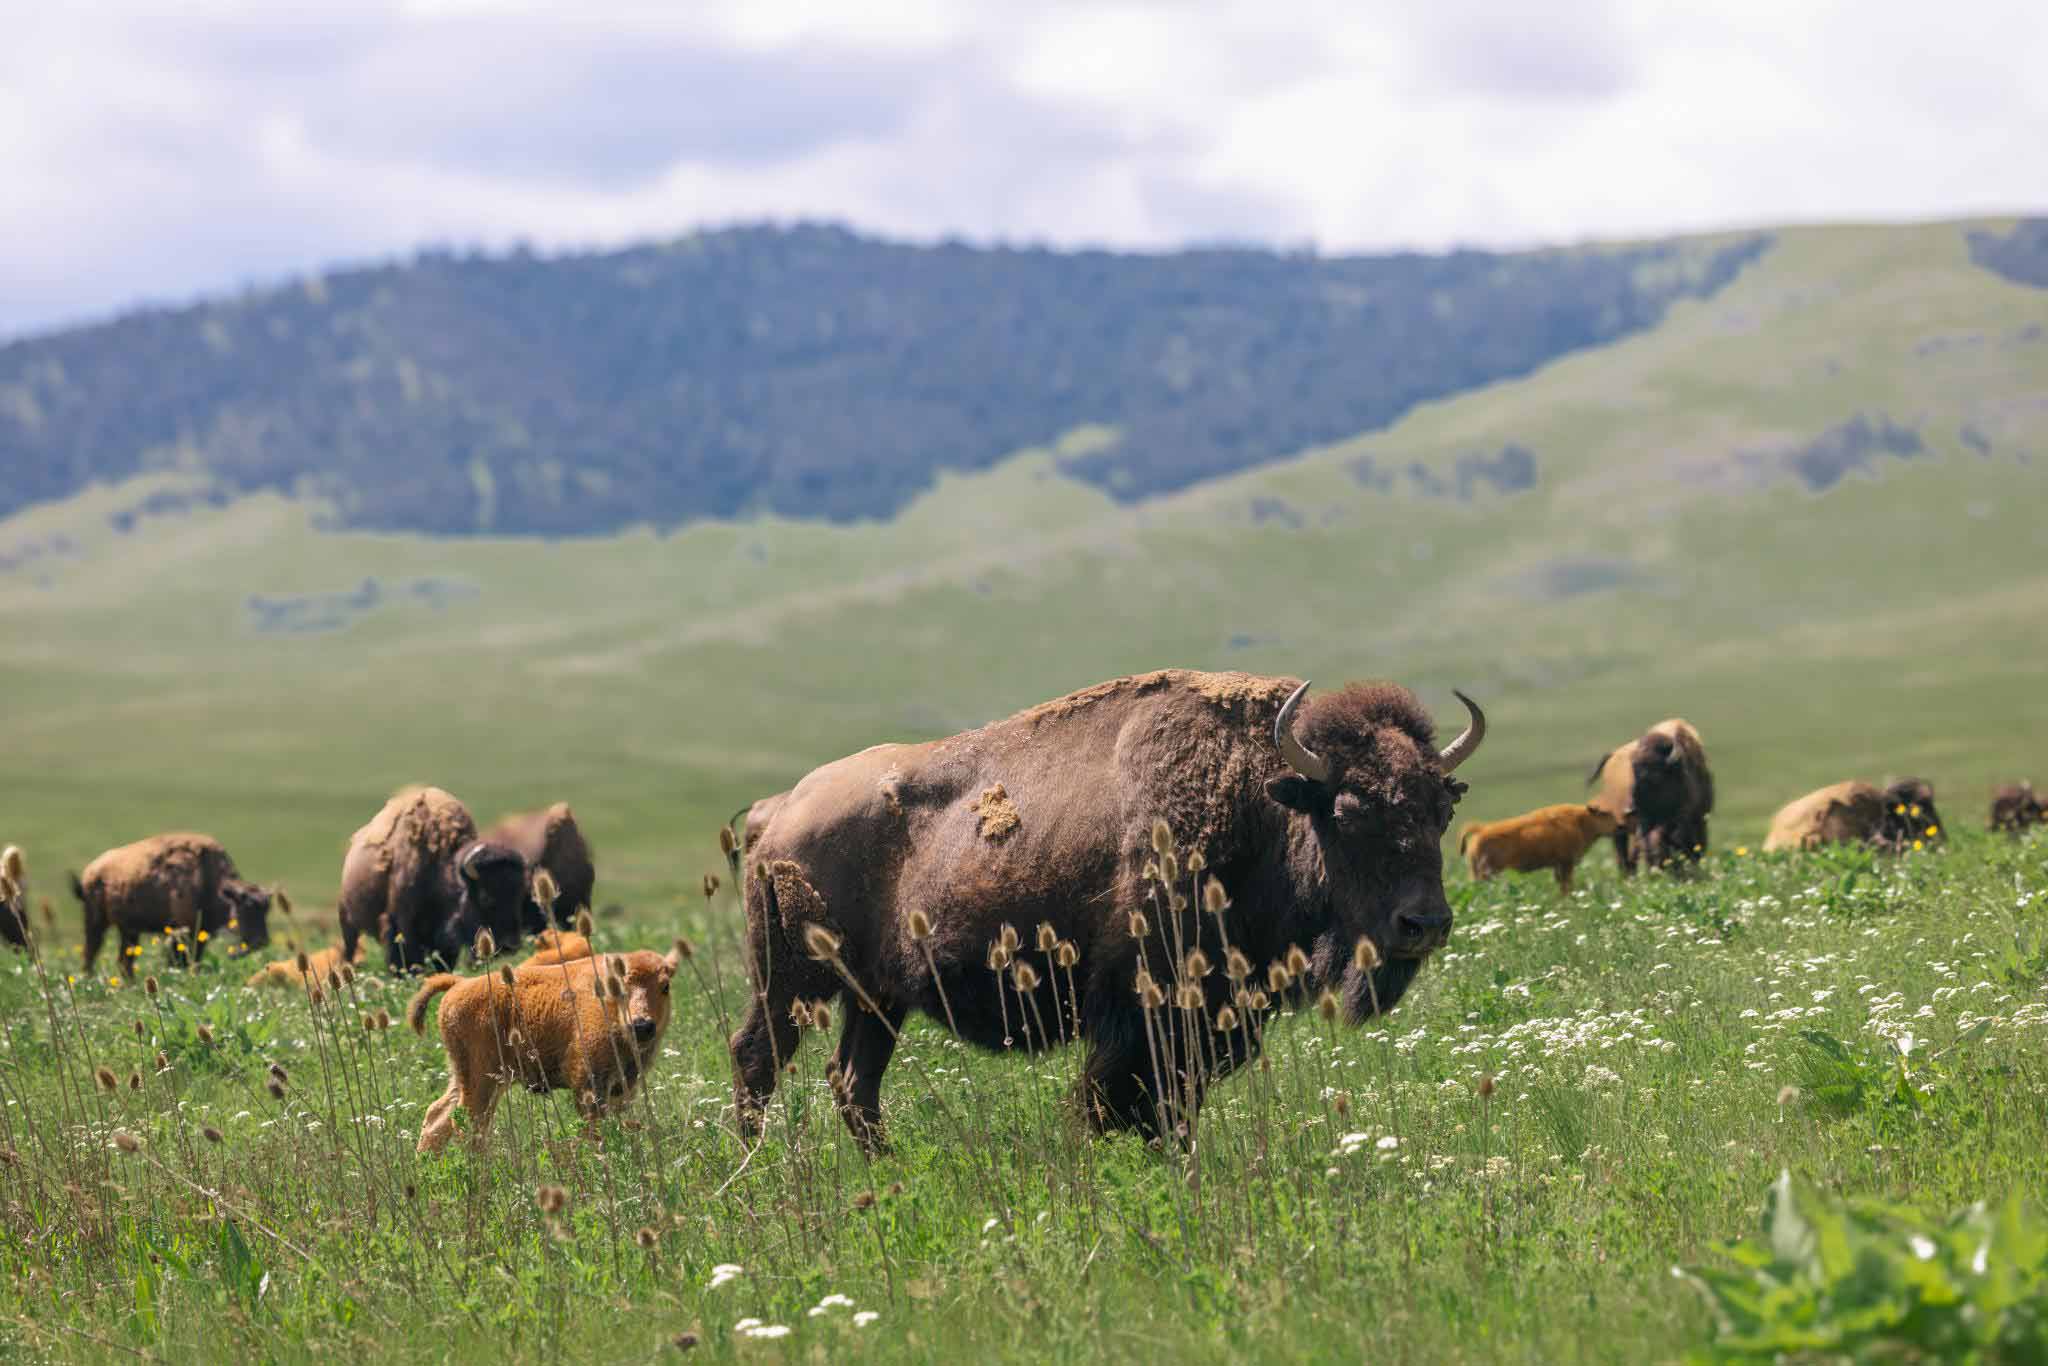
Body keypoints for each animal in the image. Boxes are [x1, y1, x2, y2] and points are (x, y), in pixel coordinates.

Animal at [71, 833, 274, 976]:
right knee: (91, 952)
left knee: (124, 961)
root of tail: (91, 871)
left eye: (266, 909)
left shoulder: (200, 934)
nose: (261, 941)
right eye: (245, 907)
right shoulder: (182, 931)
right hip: (96, 922)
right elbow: (178, 959)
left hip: (129, 930)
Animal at [338, 786, 527, 973]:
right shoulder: (402, 923)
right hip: (348, 922)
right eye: (485, 897)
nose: (511, 946)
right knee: (350, 947)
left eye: (518, 895)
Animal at [732, 669, 1484, 1148]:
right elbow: (1125, 1104)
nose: (1425, 924)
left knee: (852, 1083)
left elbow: (1173, 1106)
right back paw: (758, 1170)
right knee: (757, 1060)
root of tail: (778, 811)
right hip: (792, 982)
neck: (1263, 802)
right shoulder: (1143, 1014)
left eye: (1441, 810)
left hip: (877, 997)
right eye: (1350, 811)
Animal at [1587, 719, 1713, 872]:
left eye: (1654, 775)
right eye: (1633, 770)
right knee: (1624, 853)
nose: (1630, 809)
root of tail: (1613, 753)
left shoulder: (1695, 819)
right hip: (1620, 828)